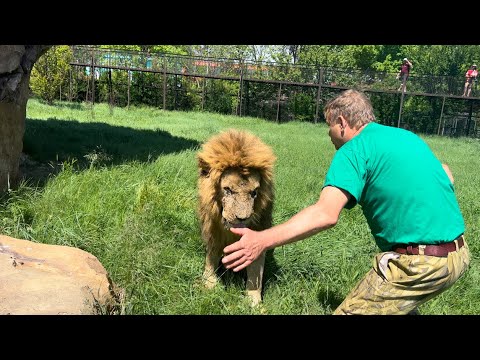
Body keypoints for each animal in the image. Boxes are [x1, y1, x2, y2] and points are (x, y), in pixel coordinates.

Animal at [197, 129, 276, 306]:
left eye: (254, 192)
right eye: (228, 190)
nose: (242, 218)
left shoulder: (257, 233)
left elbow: (256, 271)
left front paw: (254, 301)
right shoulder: (213, 231)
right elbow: (211, 257)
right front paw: (209, 284)